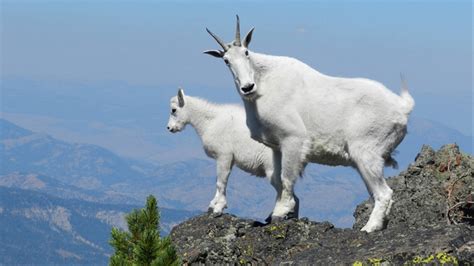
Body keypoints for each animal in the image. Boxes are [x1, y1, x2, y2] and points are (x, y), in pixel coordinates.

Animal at [167, 88, 288, 217]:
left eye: (174, 110)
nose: (169, 128)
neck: (209, 122)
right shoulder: (227, 159)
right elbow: (219, 180)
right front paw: (213, 204)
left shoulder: (224, 156)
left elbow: (221, 182)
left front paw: (218, 208)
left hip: (271, 169)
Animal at [205, 17, 414, 233]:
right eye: (226, 60)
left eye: (246, 52)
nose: (247, 87)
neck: (263, 85)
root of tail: (402, 107)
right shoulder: (277, 146)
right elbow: (278, 178)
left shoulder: (293, 139)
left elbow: (287, 177)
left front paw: (281, 211)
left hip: (366, 152)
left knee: (384, 193)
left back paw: (369, 228)